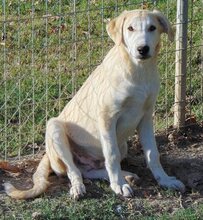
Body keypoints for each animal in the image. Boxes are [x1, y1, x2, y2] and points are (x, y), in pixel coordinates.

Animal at [4, 9, 186, 199]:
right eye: (130, 28)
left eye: (152, 28)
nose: (142, 49)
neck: (138, 71)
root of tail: (47, 155)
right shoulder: (107, 117)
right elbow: (112, 155)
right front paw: (118, 185)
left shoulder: (146, 117)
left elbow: (152, 154)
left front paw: (165, 180)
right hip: (55, 128)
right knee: (73, 170)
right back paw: (80, 187)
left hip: (122, 145)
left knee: (90, 170)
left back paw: (126, 176)